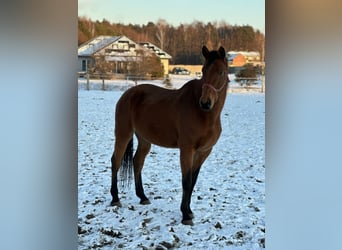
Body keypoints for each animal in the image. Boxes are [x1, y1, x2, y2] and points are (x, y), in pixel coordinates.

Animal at [111, 46, 228, 226]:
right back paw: (115, 199)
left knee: (137, 162)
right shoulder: (186, 150)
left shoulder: (204, 152)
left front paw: (190, 211)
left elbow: (193, 181)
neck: (205, 115)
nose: (205, 103)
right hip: (123, 133)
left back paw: (143, 197)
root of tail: (127, 94)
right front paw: (185, 215)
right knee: (115, 162)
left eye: (221, 72)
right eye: (203, 71)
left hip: (144, 139)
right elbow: (186, 181)